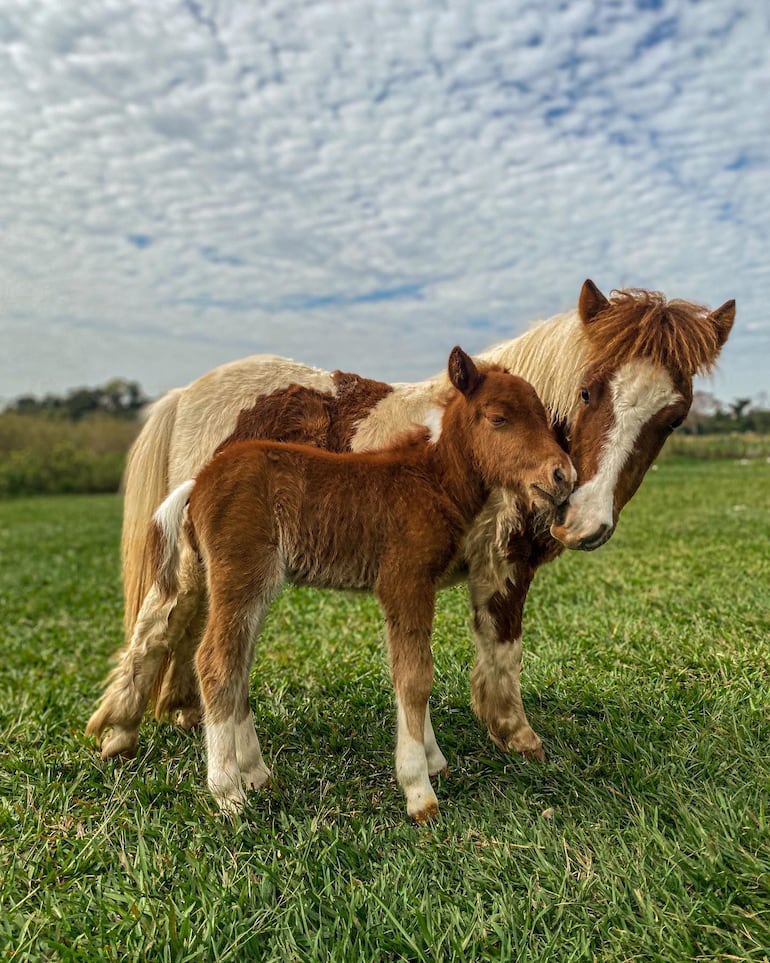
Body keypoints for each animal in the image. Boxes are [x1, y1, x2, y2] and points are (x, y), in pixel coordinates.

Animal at [90, 280, 732, 768]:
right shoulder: (502, 565)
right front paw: (516, 735)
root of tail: (185, 394)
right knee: (158, 625)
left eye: (674, 419)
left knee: (186, 625)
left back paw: (177, 713)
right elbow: (503, 646)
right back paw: (121, 732)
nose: (583, 520)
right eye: (587, 391)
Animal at [91, 350, 568, 824]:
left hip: (254, 584)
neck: (428, 478)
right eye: (498, 418)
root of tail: (198, 483)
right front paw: (419, 790)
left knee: (238, 663)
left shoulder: (417, 587)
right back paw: (227, 792)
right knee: (215, 662)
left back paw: (256, 773)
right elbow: (414, 677)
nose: (562, 474)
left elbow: (412, 671)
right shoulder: (404, 580)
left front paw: (433, 762)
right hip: (239, 575)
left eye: (545, 417)